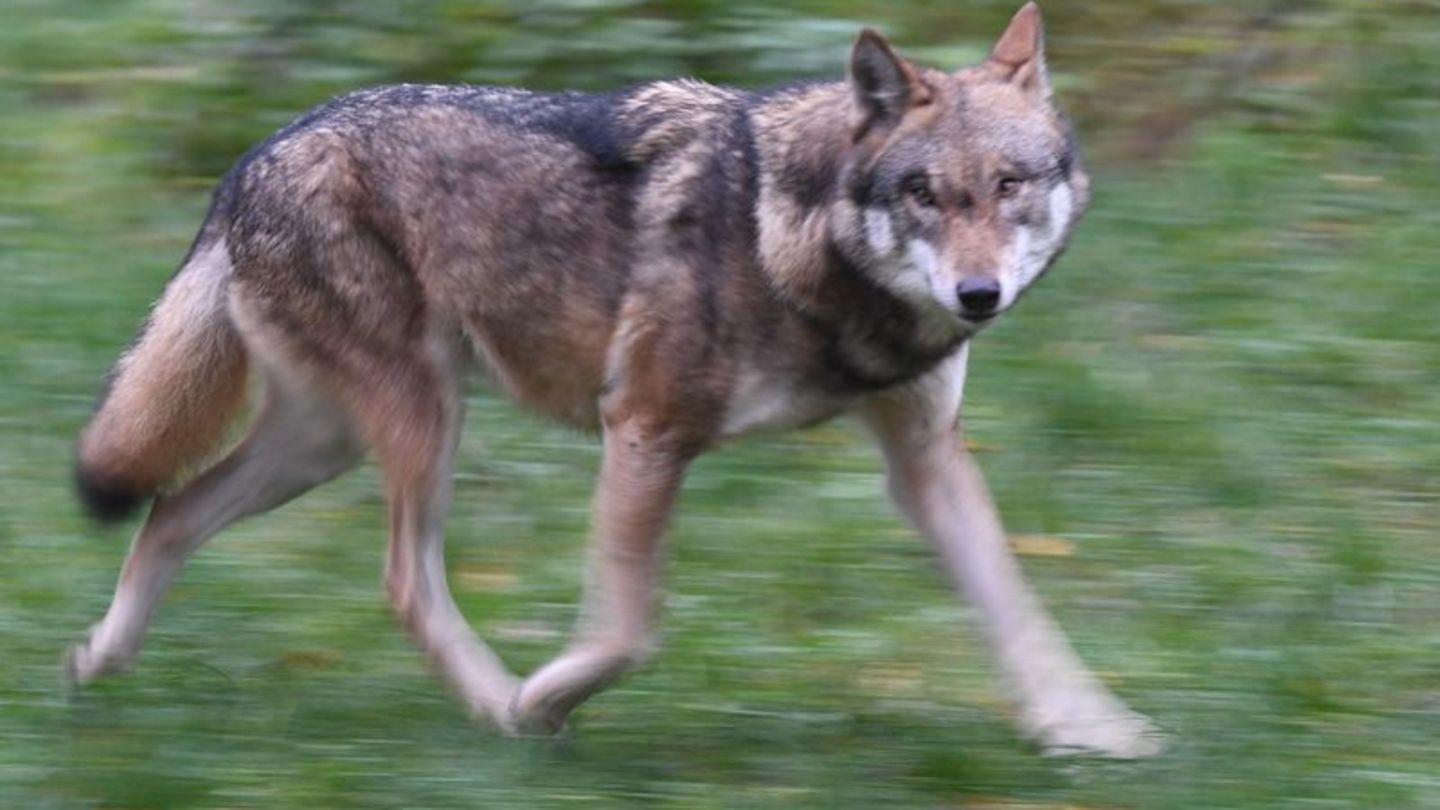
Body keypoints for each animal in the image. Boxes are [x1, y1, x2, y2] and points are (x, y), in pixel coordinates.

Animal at [67, 3, 1161, 757]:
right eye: (926, 194)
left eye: (1009, 186)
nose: (978, 294)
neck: (798, 241)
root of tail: (252, 156)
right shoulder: (644, 428)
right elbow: (630, 630)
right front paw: (545, 695)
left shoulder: (924, 459)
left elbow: (1018, 609)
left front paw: (1093, 732)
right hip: (420, 422)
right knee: (401, 581)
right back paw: (498, 709)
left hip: (325, 442)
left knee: (172, 509)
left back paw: (98, 664)